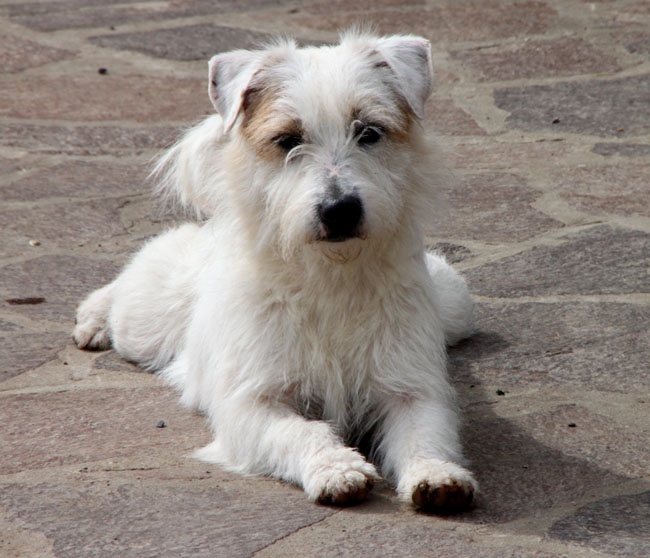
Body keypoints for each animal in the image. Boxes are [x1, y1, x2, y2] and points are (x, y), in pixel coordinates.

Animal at [73, 31, 478, 513]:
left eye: (369, 132)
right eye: (287, 139)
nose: (339, 210)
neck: (329, 276)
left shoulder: (410, 391)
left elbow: (424, 436)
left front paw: (437, 475)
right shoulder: (255, 404)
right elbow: (302, 432)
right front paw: (336, 468)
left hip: (455, 304)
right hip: (145, 321)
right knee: (123, 289)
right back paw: (93, 318)